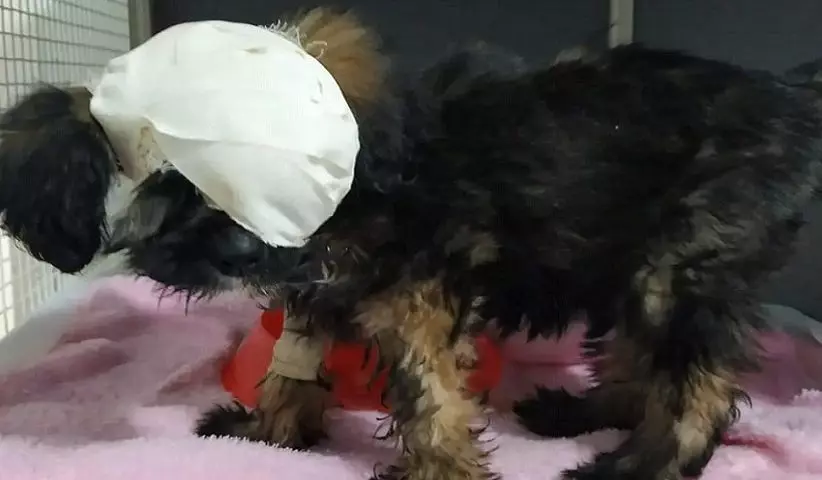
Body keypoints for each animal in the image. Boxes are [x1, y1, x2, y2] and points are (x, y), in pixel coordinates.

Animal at [3, 7, 822, 479]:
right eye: (166, 187)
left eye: (276, 174)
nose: (235, 257)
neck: (360, 180)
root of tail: (788, 98)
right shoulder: (315, 290)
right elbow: (292, 369)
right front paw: (266, 434)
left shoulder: (416, 295)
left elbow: (430, 394)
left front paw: (439, 471)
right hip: (639, 262)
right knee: (639, 362)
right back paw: (580, 416)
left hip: (680, 265)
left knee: (699, 390)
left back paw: (638, 467)